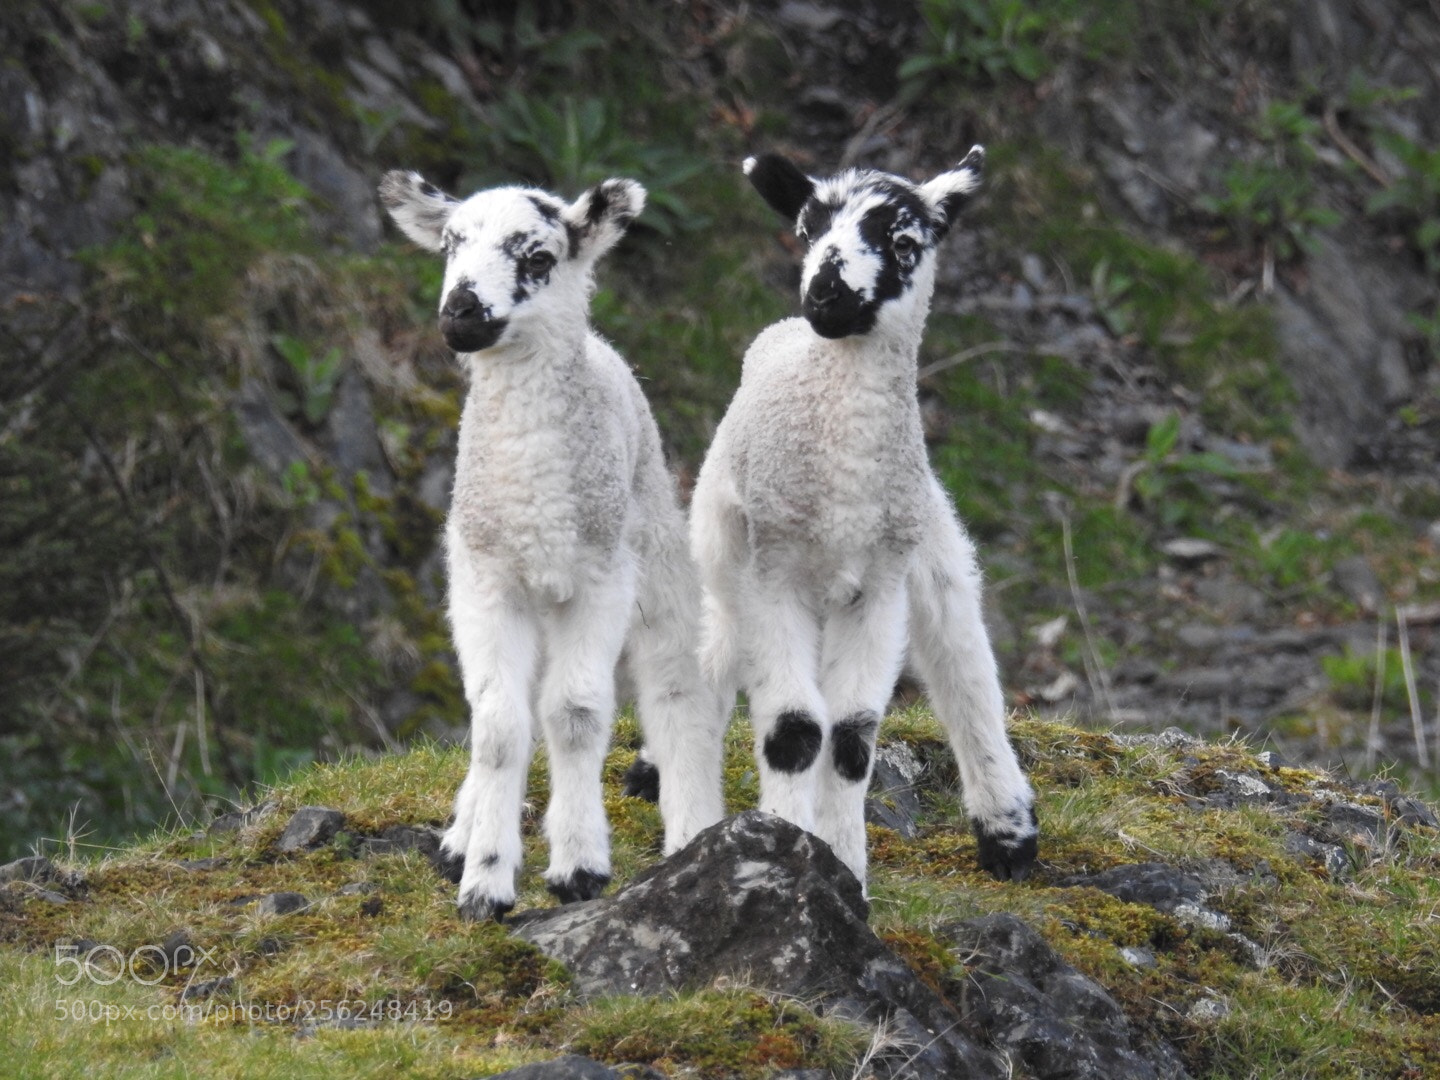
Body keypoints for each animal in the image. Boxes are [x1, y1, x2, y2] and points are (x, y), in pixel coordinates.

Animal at [378, 170, 726, 921]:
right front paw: (484, 880)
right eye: (449, 245)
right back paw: (461, 834)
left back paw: (693, 828)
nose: (460, 310)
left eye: (537, 255)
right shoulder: (484, 584)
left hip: (652, 547)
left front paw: (578, 869)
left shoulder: (599, 579)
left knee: (674, 687)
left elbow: (574, 715)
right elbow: (499, 728)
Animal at [688, 147, 1038, 890]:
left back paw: (1008, 830)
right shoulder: (776, 575)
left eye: (904, 242)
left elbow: (851, 736)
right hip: (725, 543)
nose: (826, 294)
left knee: (962, 654)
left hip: (925, 538)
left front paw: (843, 865)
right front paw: (786, 851)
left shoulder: (879, 586)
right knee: (717, 645)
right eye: (806, 230)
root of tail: (783, 335)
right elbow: (795, 730)